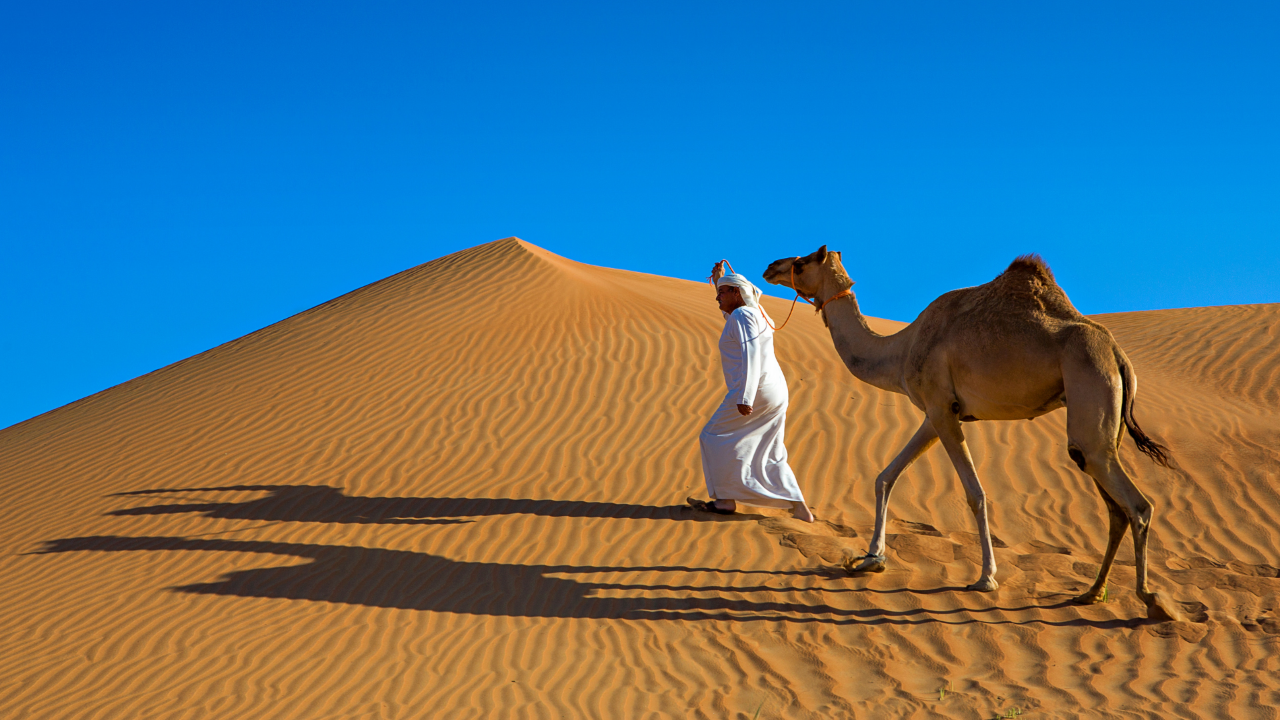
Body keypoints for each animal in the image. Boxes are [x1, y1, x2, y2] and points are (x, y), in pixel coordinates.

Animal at [757, 243, 1177, 620]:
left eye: (802, 261)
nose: (770, 266)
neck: (901, 348)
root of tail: (1118, 355)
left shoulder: (943, 409)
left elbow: (975, 493)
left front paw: (986, 578)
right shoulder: (935, 413)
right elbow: (885, 476)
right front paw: (870, 558)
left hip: (1090, 392)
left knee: (1137, 504)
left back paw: (1152, 600)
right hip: (1102, 426)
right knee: (1114, 506)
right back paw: (1092, 592)